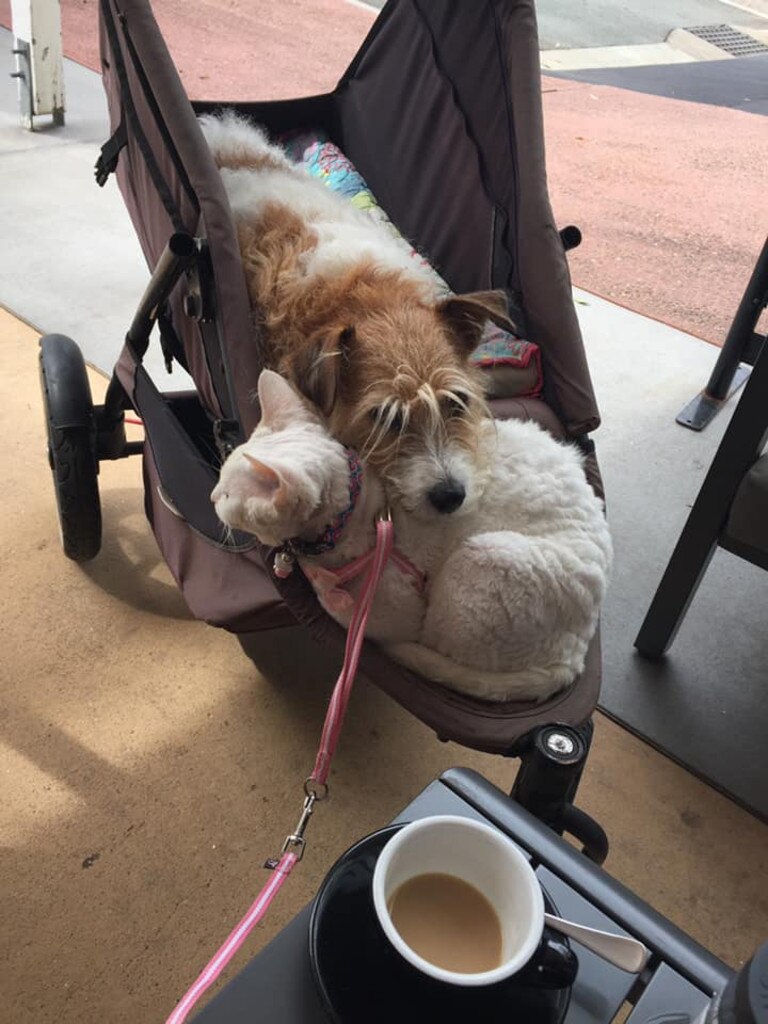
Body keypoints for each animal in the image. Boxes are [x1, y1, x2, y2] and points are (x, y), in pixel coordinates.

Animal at [214, 372, 618, 700]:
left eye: (228, 495)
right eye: (220, 479)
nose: (212, 496)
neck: (363, 509)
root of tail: (576, 655)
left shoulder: (392, 615)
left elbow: (344, 612)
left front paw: (325, 586)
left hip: (485, 559)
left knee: (435, 643)